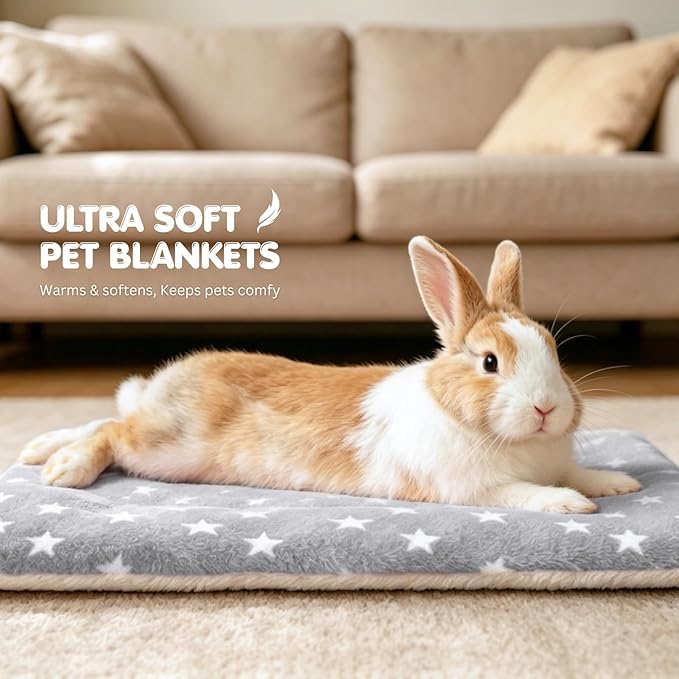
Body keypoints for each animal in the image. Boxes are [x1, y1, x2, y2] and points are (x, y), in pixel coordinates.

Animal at [20, 236, 641, 513]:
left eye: (554, 352)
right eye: (490, 362)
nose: (547, 407)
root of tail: (164, 382)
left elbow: (578, 472)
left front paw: (616, 484)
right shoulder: (472, 487)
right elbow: (523, 493)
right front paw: (571, 506)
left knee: (105, 417)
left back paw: (37, 448)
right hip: (169, 450)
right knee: (111, 431)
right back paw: (64, 469)